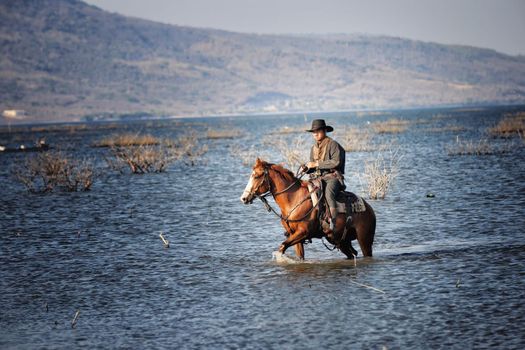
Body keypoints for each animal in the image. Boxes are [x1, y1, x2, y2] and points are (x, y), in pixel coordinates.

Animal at [239, 159, 374, 260]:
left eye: (257, 176)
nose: (244, 198)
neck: (293, 199)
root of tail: (369, 208)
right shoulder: (295, 236)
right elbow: (297, 255)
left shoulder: (303, 232)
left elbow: (282, 246)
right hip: (340, 241)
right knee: (351, 254)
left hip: (364, 239)